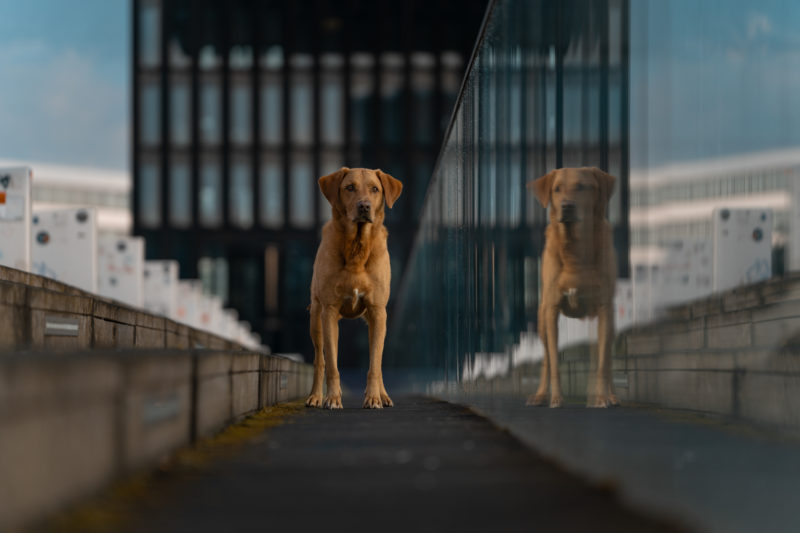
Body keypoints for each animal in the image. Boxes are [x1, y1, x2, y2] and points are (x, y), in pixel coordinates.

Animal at [308, 168, 406, 410]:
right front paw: (333, 398)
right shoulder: (329, 310)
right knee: (319, 360)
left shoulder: (378, 311)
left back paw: (383, 395)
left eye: (375, 189)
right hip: (316, 318)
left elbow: (375, 364)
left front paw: (373, 398)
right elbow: (332, 364)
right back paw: (315, 396)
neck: (357, 248)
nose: (364, 206)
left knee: (377, 361)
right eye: (349, 187)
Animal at [524, 167, 620, 408]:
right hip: (542, 321)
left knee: (606, 358)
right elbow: (554, 361)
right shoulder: (552, 310)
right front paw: (556, 398)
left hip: (609, 322)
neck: (575, 251)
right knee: (546, 359)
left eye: (582, 186)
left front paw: (601, 398)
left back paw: (610, 395)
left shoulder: (604, 308)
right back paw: (540, 395)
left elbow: (602, 362)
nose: (567, 206)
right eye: (557, 189)